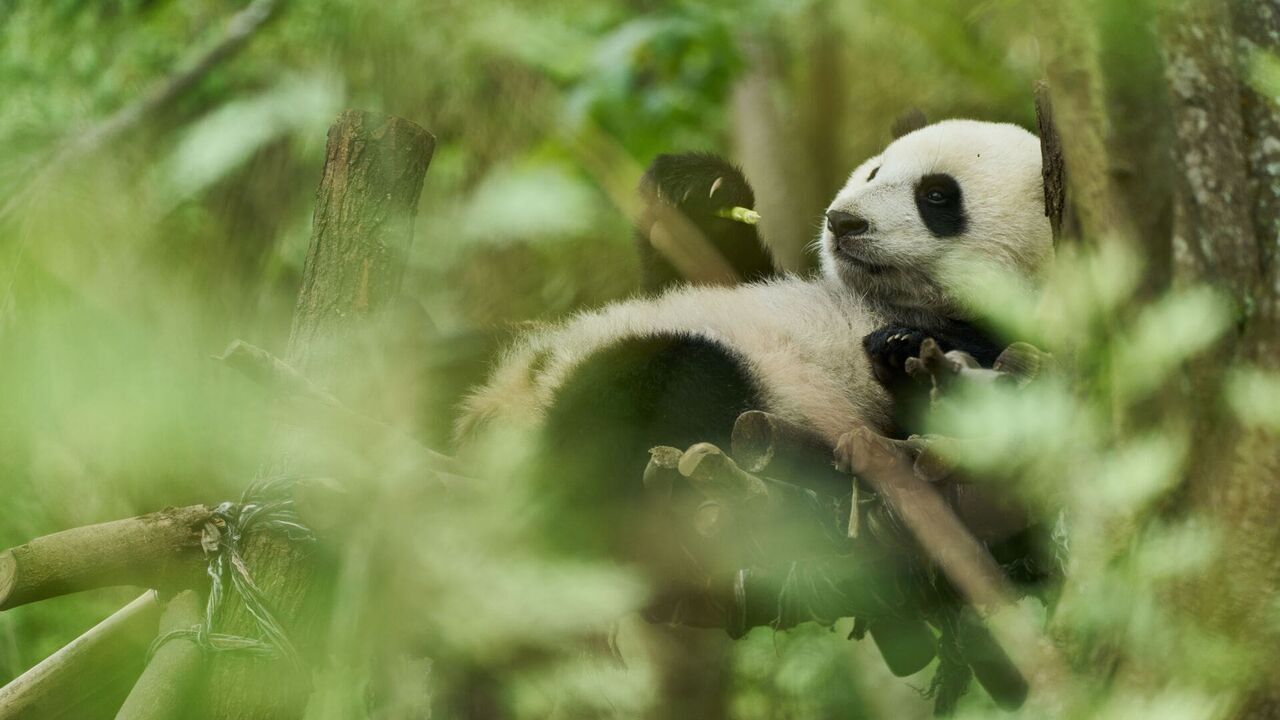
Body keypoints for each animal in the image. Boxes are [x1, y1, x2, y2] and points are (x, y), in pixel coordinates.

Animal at [457, 119, 1052, 553]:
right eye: (874, 171)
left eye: (936, 196)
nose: (843, 222)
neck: (892, 299)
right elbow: (712, 268)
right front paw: (697, 187)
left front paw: (900, 349)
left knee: (669, 380)